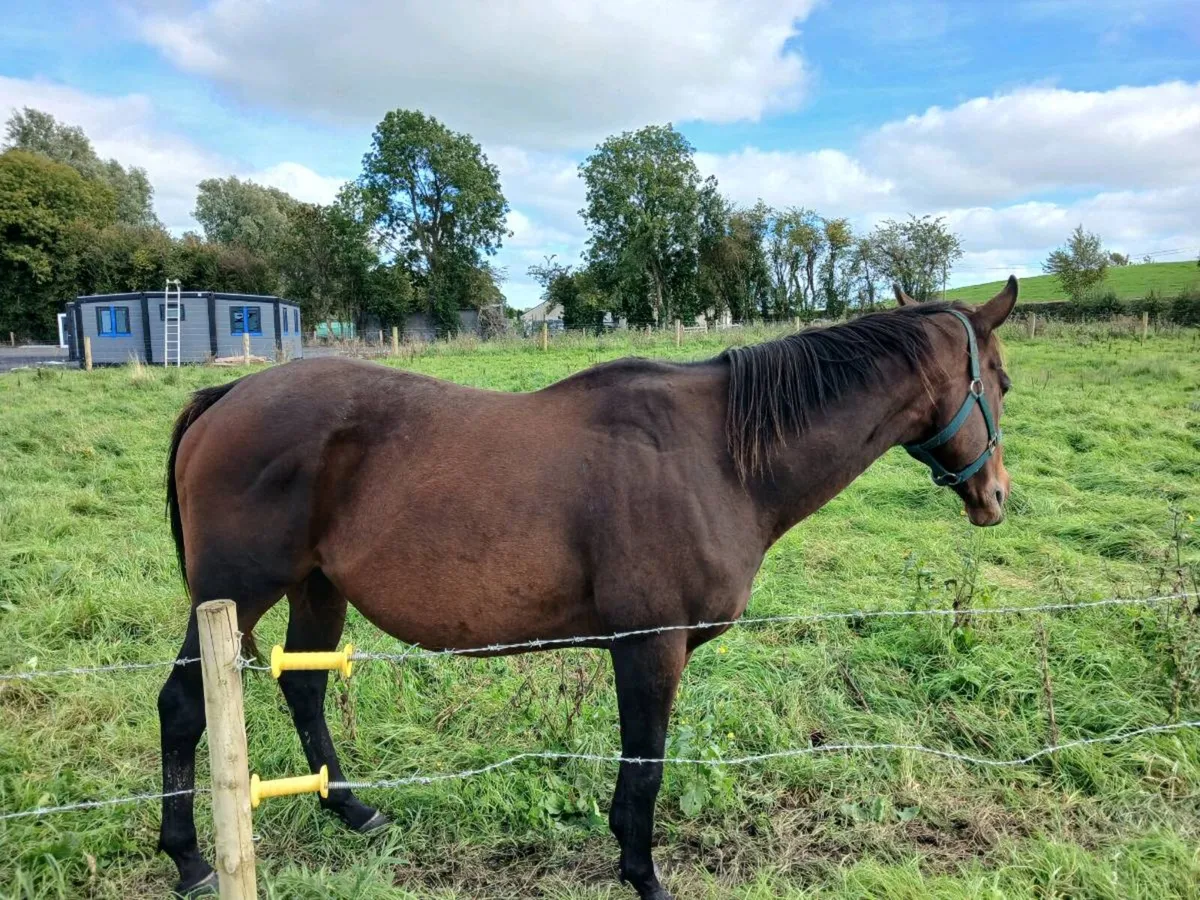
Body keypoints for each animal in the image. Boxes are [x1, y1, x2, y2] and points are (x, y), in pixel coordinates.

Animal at [158, 279, 1017, 898]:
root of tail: (225, 397)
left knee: (302, 691)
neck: (718, 456)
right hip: (236, 592)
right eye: (1002, 383)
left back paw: (353, 809)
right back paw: (191, 862)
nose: (997, 497)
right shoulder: (649, 647)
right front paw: (643, 876)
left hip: (316, 589)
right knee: (183, 707)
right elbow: (646, 766)